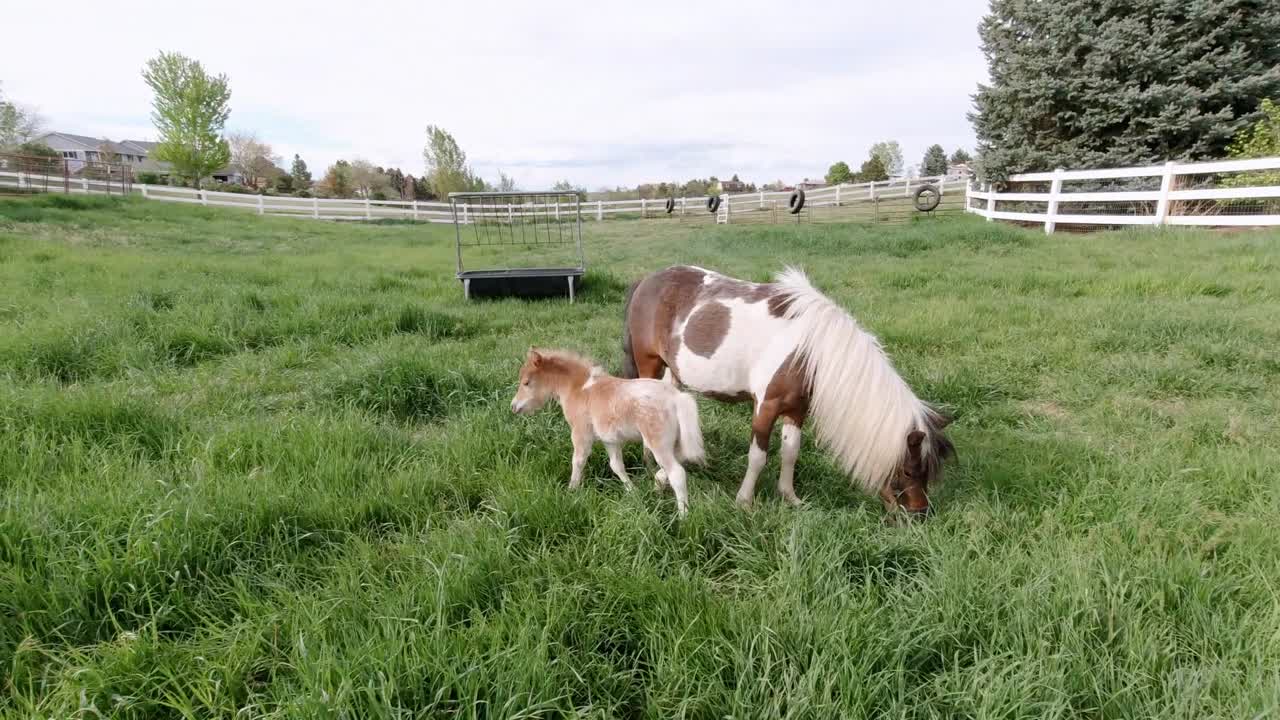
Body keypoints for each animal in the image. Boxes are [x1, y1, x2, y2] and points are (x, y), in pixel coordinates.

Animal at [511, 348, 706, 517]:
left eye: (526, 382)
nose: (513, 406)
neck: (578, 388)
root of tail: (676, 398)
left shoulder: (580, 433)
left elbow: (578, 461)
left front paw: (572, 491)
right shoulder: (609, 440)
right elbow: (616, 466)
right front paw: (632, 491)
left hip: (658, 443)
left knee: (677, 473)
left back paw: (683, 516)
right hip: (676, 442)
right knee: (682, 460)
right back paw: (657, 486)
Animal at [621, 265, 954, 517]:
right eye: (909, 472)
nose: (920, 513)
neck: (812, 350)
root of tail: (647, 281)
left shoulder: (796, 409)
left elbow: (790, 453)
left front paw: (790, 497)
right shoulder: (766, 406)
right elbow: (758, 457)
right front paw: (744, 501)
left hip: (672, 372)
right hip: (649, 364)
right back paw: (654, 466)